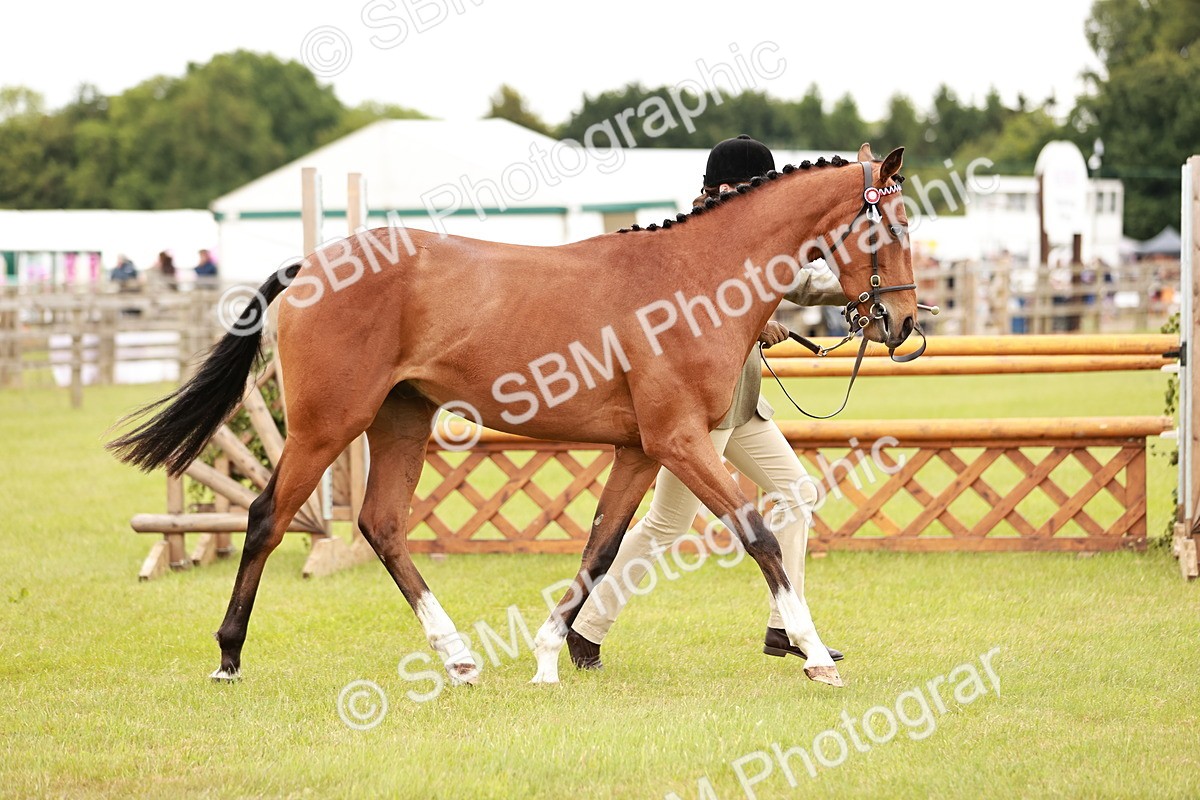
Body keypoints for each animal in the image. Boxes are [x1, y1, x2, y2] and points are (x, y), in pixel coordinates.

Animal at [108, 143, 916, 690]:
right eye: (890, 228)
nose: (904, 323)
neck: (695, 281)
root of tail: (314, 262)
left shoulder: (641, 450)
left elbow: (601, 549)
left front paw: (551, 657)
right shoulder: (680, 441)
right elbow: (758, 538)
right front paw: (815, 655)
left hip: (401, 421)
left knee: (382, 525)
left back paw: (459, 658)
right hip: (324, 427)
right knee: (267, 518)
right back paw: (229, 655)